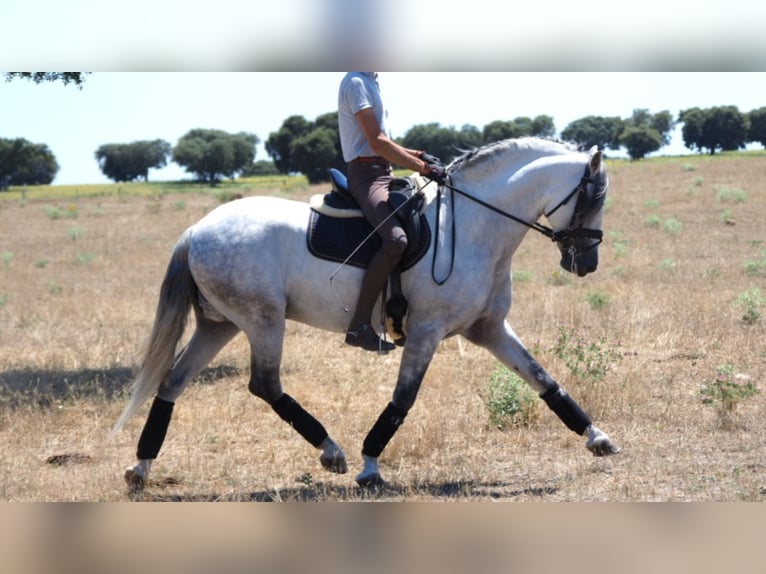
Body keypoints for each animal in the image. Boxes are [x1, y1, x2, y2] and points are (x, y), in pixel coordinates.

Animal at [115, 136, 624, 496]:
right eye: (593, 197)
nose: (586, 262)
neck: (474, 226)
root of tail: (196, 230)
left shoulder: (489, 329)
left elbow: (544, 380)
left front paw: (597, 438)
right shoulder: (427, 331)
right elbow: (403, 400)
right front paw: (370, 466)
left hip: (219, 325)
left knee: (173, 383)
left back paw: (141, 468)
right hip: (262, 321)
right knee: (265, 385)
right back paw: (332, 452)